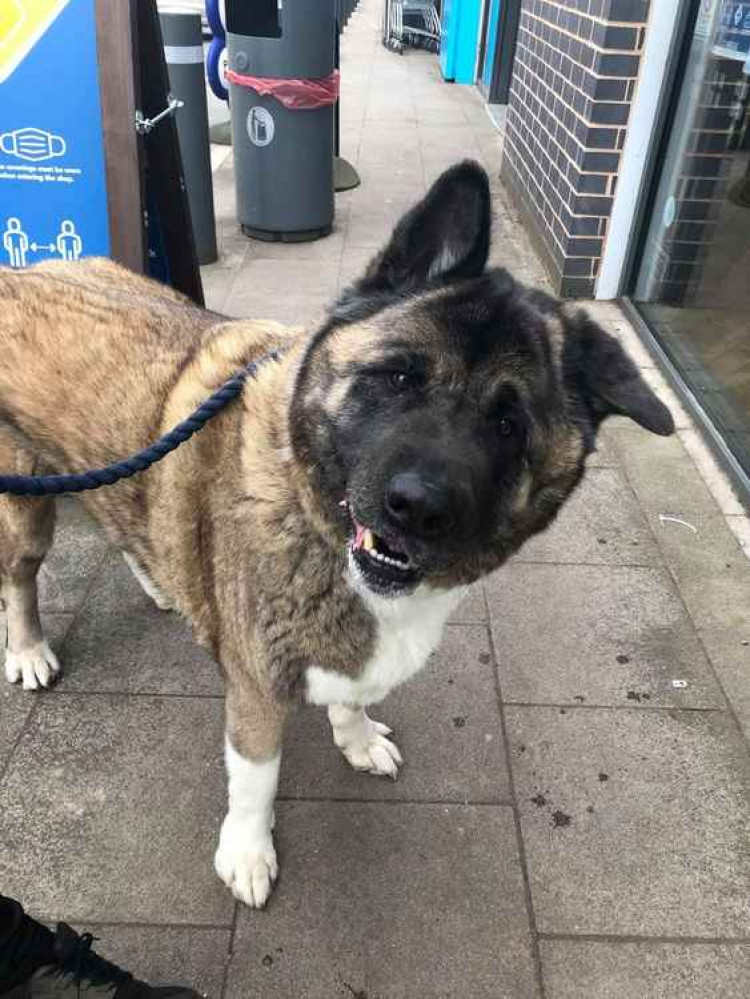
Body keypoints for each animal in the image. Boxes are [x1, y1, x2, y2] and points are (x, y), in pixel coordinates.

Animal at [0, 162, 672, 908]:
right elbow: (256, 782)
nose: (416, 506)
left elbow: (351, 698)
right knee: (20, 577)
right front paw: (247, 851)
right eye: (399, 376)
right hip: (25, 505)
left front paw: (355, 738)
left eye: (508, 425)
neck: (309, 512)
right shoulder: (257, 691)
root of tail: (22, 271)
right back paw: (28, 649)